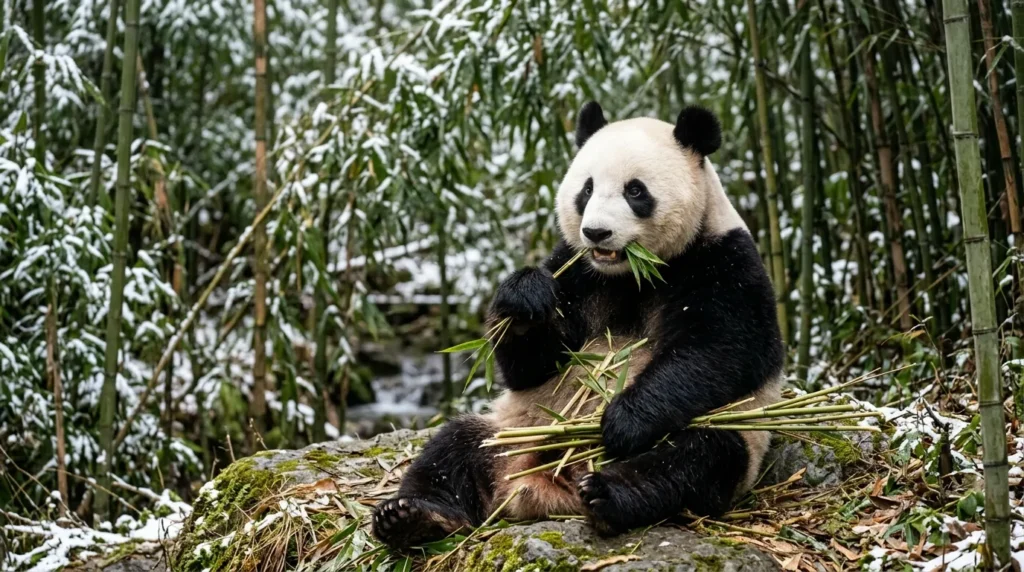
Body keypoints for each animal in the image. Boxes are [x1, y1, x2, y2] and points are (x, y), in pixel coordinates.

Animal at [372, 102, 785, 547]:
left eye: (635, 191)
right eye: (586, 189)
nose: (596, 232)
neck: (631, 273)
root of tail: (544, 487)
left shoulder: (724, 262)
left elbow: (719, 351)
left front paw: (622, 421)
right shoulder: (576, 271)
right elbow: (532, 365)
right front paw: (525, 297)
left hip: (735, 434)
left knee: (695, 458)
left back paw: (608, 494)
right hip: (509, 431)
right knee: (452, 447)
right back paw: (412, 517)